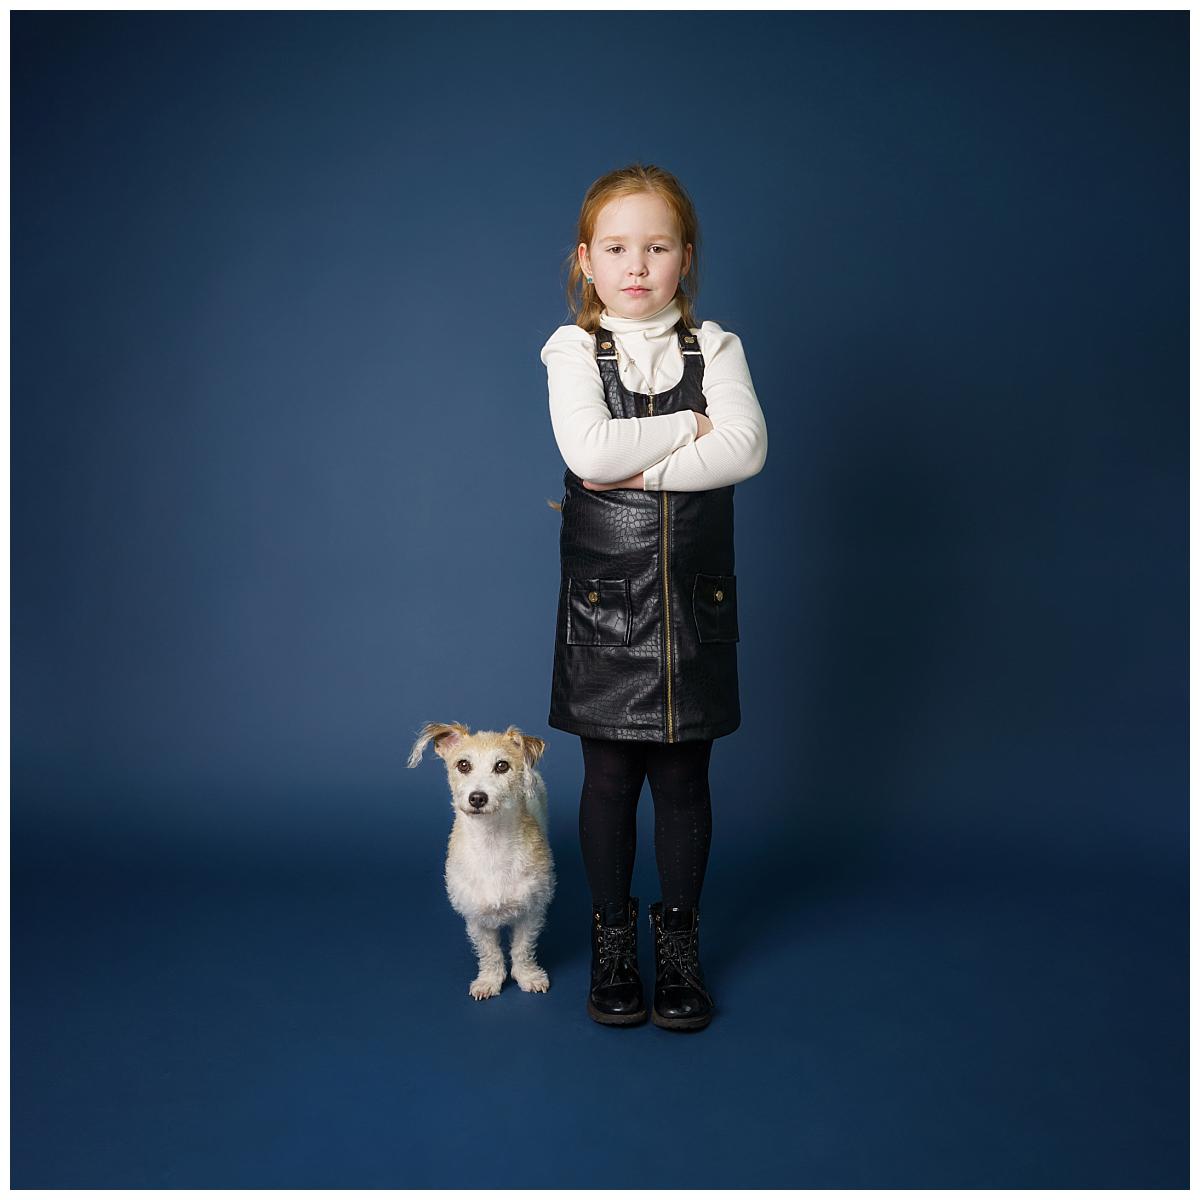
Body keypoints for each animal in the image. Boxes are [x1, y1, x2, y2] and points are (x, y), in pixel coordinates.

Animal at [403, 724, 552, 998]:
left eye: (502, 766)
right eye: (463, 765)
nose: (478, 798)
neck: (491, 840)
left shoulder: (531, 912)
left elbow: (522, 949)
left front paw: (528, 976)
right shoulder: (476, 918)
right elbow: (490, 953)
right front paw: (489, 981)